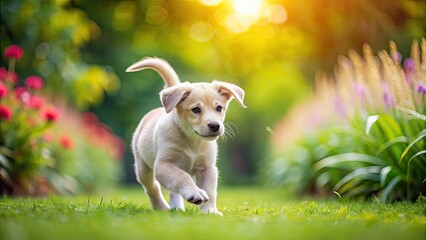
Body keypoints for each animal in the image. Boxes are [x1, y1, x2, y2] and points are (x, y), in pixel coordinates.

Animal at [125, 57, 246, 216]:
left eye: (219, 108)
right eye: (196, 109)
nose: (215, 126)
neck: (192, 141)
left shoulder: (207, 168)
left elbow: (210, 190)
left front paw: (210, 211)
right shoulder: (163, 165)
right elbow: (182, 176)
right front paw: (195, 193)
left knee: (173, 191)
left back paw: (176, 208)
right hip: (143, 168)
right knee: (152, 188)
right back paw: (161, 207)